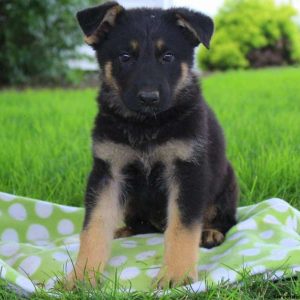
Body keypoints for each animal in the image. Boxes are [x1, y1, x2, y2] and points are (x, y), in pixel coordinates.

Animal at [66, 1, 239, 290]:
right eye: (125, 57)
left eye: (167, 57)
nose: (148, 98)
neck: (146, 126)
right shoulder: (108, 171)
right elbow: (94, 226)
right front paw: (82, 276)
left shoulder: (187, 170)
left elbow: (182, 227)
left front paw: (176, 274)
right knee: (140, 225)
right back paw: (124, 230)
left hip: (227, 181)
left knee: (227, 220)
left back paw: (211, 232)